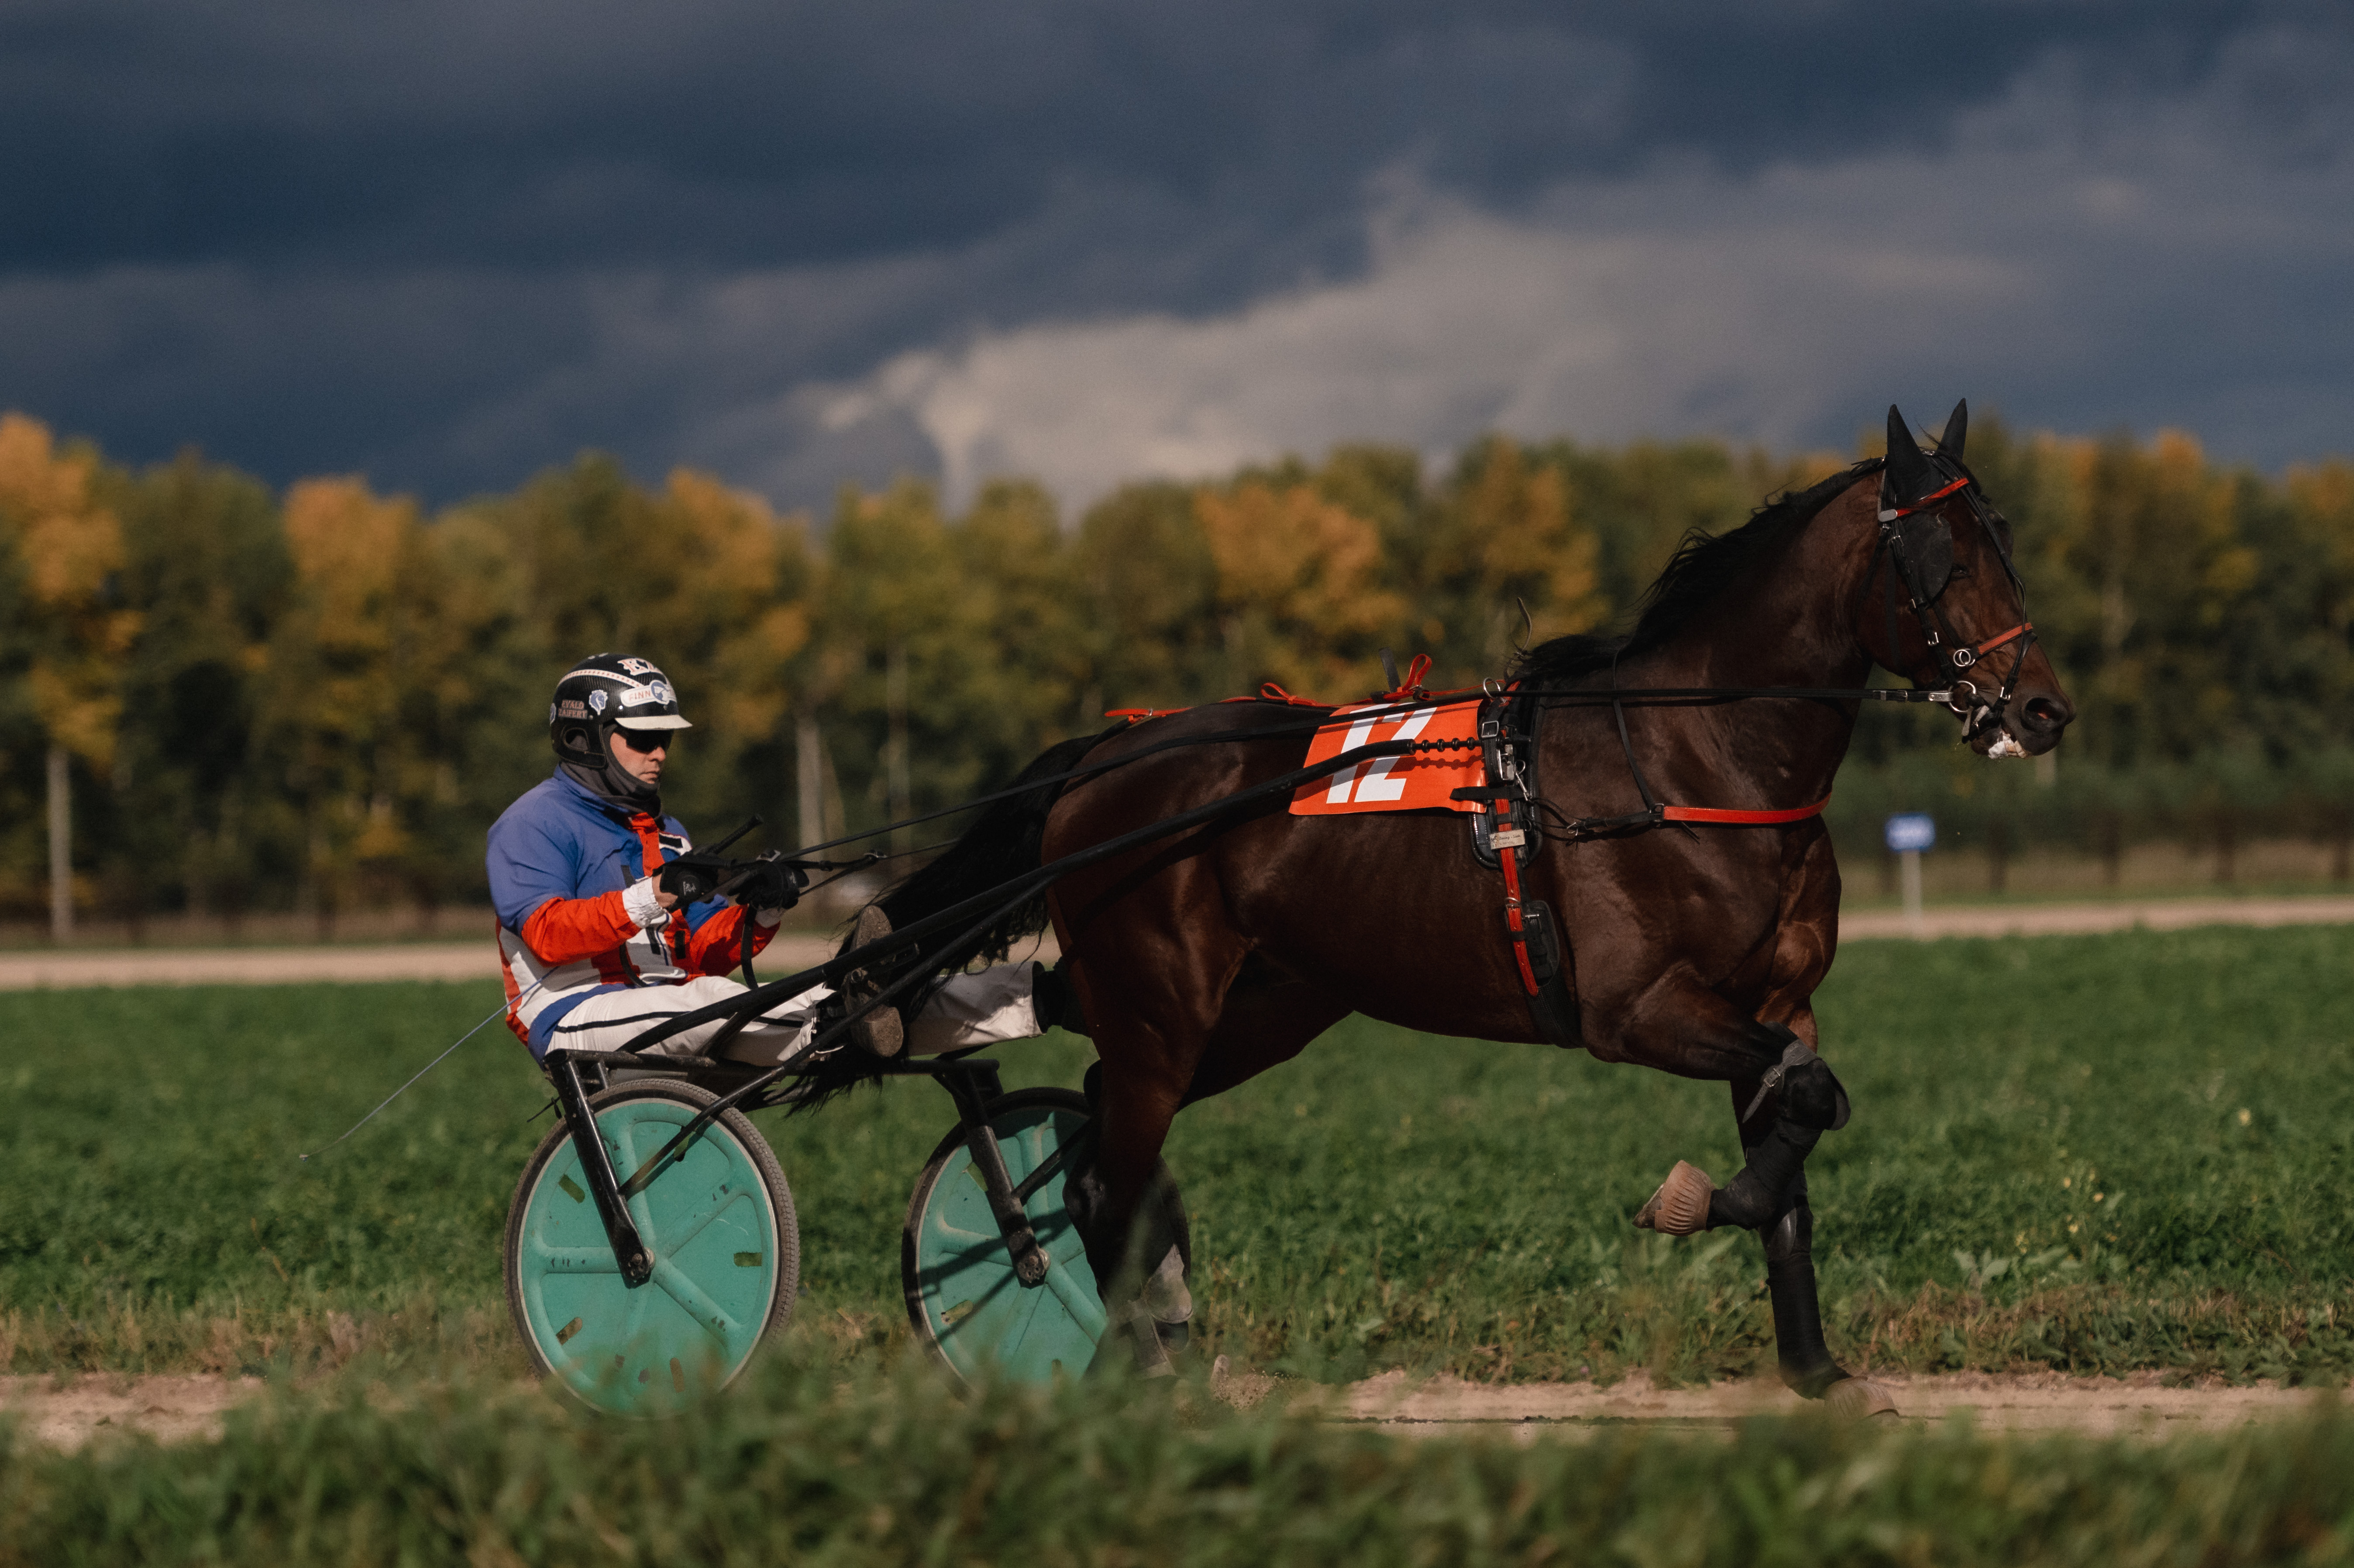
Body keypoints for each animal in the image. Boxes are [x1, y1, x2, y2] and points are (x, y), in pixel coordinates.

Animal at [875, 400, 2071, 1403]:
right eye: (1939, 555)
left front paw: (1814, 1368)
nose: (2042, 708)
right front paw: (1697, 1199)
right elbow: (1799, 1107)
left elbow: (1801, 1127)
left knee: (1096, 1115)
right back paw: (1138, 1360)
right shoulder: (1634, 1010)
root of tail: (1106, 754)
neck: (1692, 757)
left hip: (1255, 1011)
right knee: (1099, 1178)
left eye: (2004, 539)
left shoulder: (1774, 1005)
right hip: (1162, 1010)